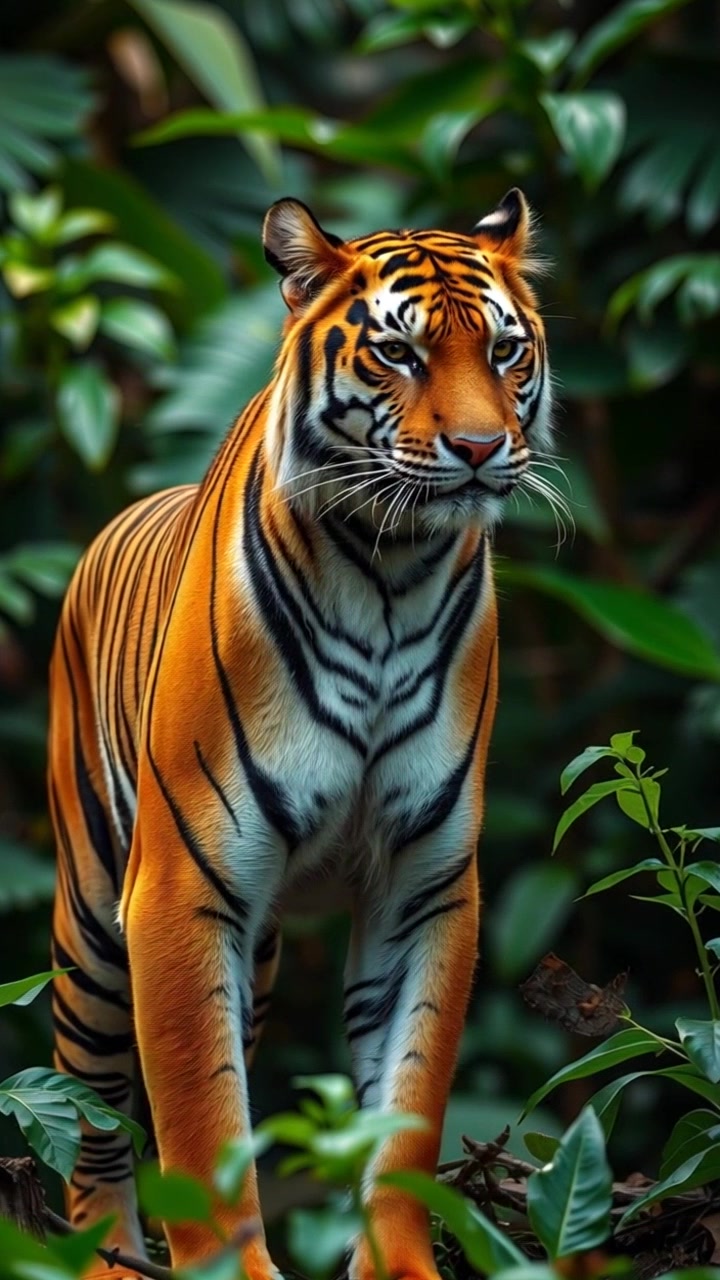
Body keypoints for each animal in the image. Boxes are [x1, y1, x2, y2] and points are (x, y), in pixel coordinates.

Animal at [48, 188, 553, 1279]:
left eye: (504, 351)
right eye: (400, 353)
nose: (480, 448)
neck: (391, 572)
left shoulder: (424, 880)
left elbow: (405, 1106)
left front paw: (398, 1263)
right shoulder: (181, 882)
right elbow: (200, 1119)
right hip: (95, 923)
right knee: (91, 1116)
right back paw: (108, 1256)